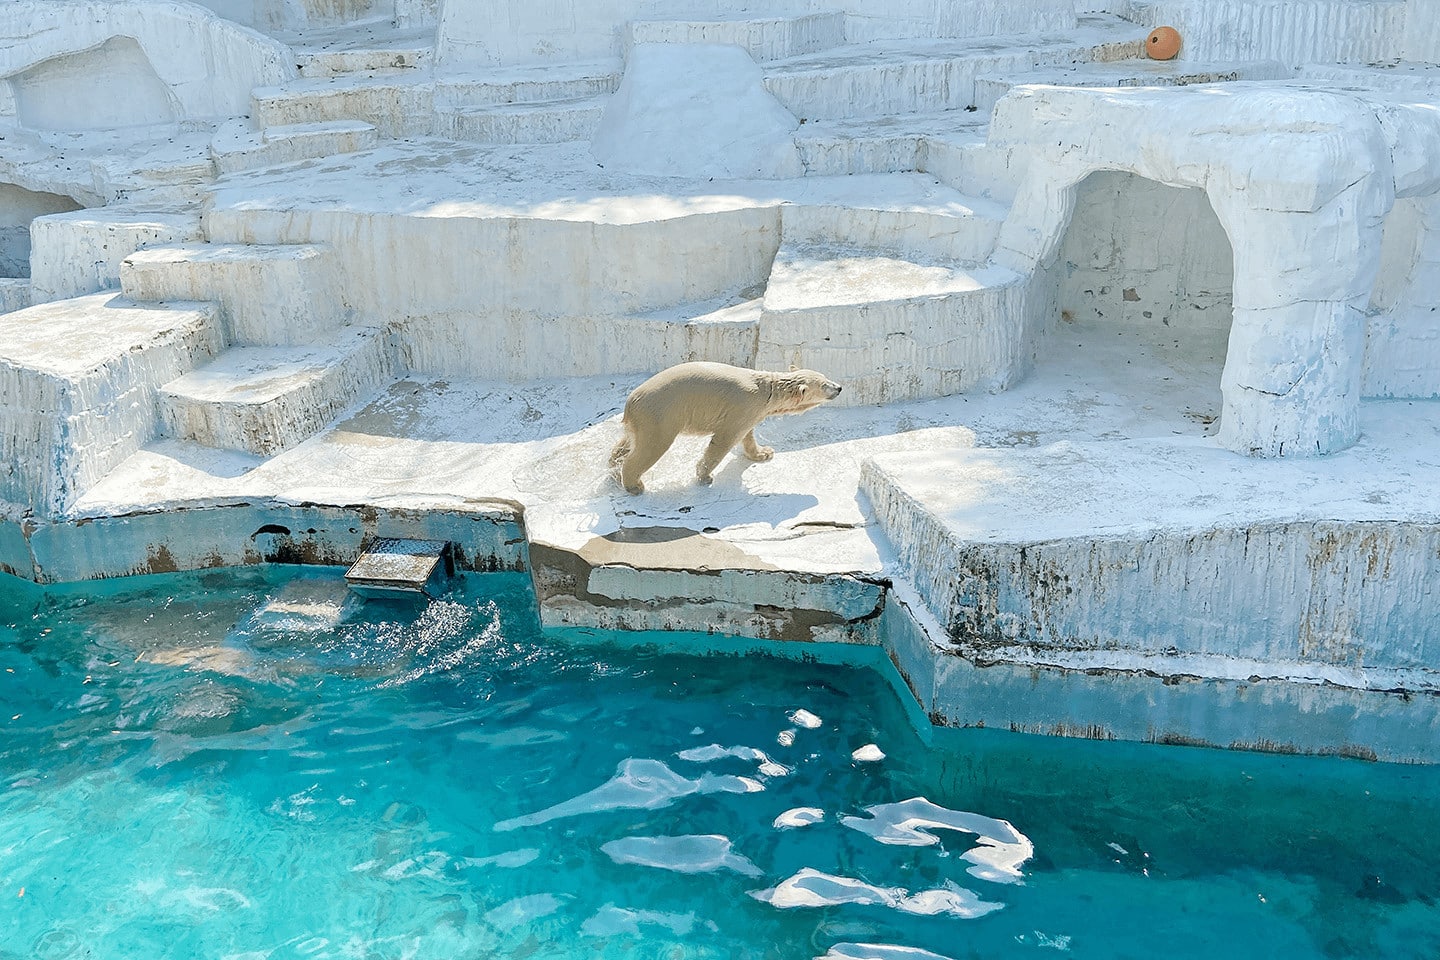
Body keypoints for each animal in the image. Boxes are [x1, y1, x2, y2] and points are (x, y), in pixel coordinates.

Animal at [608, 361, 842, 495]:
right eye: (824, 385)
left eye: (825, 377)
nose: (839, 387)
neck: (767, 390)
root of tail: (631, 403)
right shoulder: (743, 405)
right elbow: (724, 440)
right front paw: (704, 476)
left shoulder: (750, 412)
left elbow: (748, 434)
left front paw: (764, 453)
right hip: (661, 415)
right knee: (651, 448)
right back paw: (634, 485)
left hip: (641, 421)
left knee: (626, 443)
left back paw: (613, 471)